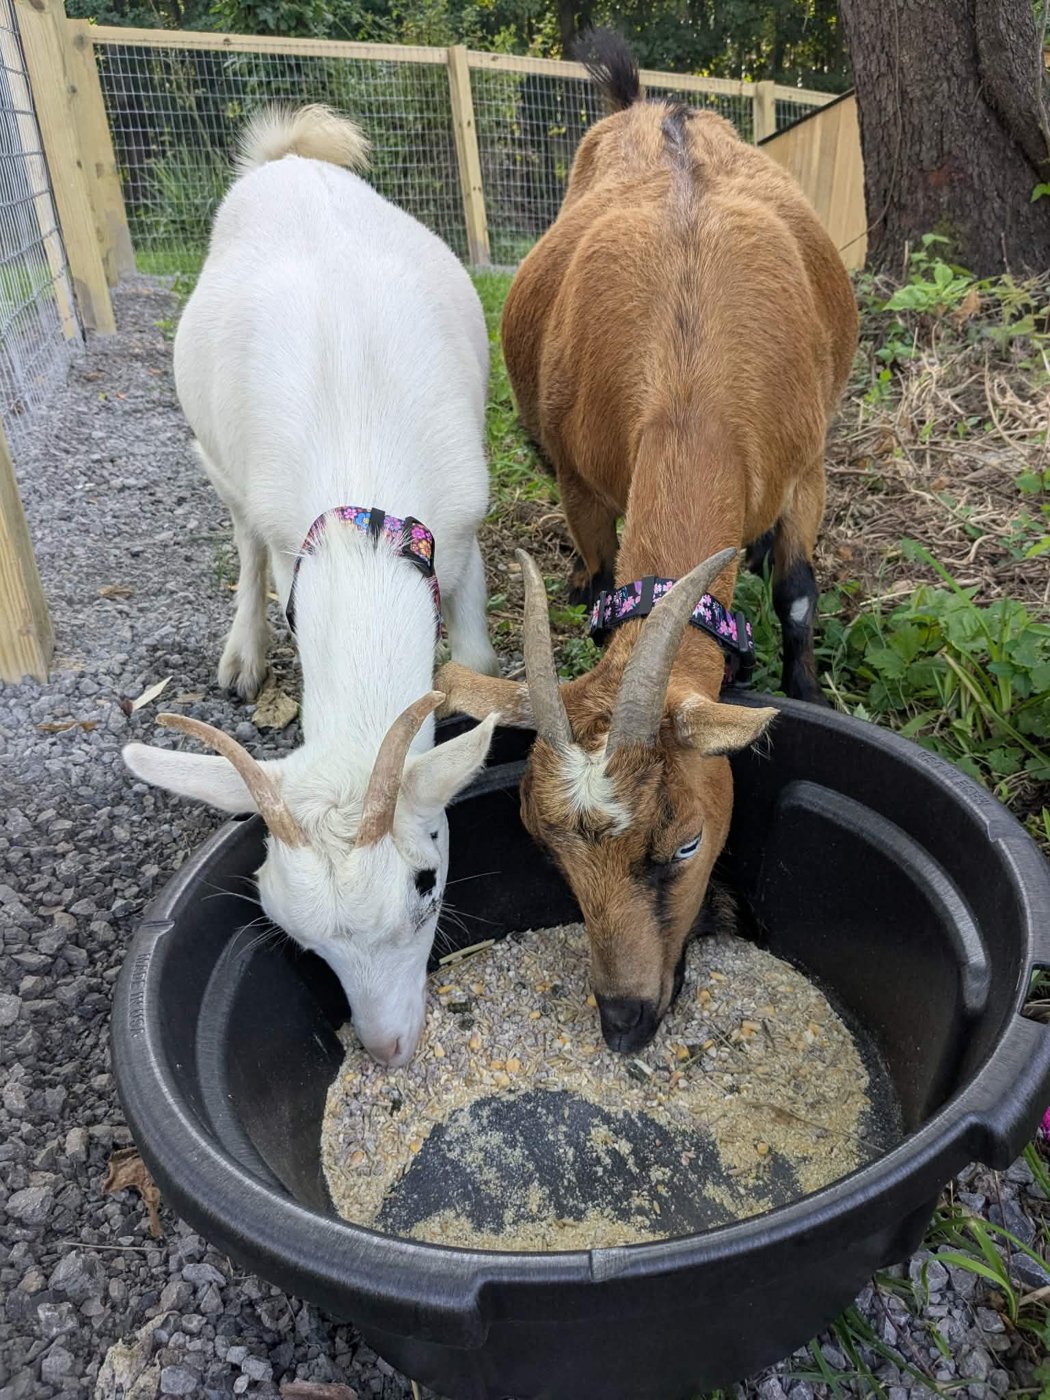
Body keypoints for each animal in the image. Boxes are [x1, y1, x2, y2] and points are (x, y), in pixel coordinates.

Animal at [123, 105, 500, 1067]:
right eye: (298, 938)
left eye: (427, 882)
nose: (389, 1048)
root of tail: (289, 159)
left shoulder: (464, 523)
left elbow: (476, 655)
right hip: (217, 460)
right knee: (244, 543)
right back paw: (244, 656)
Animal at [436, 34, 858, 1053]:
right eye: (545, 851)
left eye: (686, 843)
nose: (624, 1020)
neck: (691, 365)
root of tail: (645, 105)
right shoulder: (582, 484)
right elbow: (598, 584)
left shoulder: (806, 466)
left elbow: (795, 594)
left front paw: (802, 688)